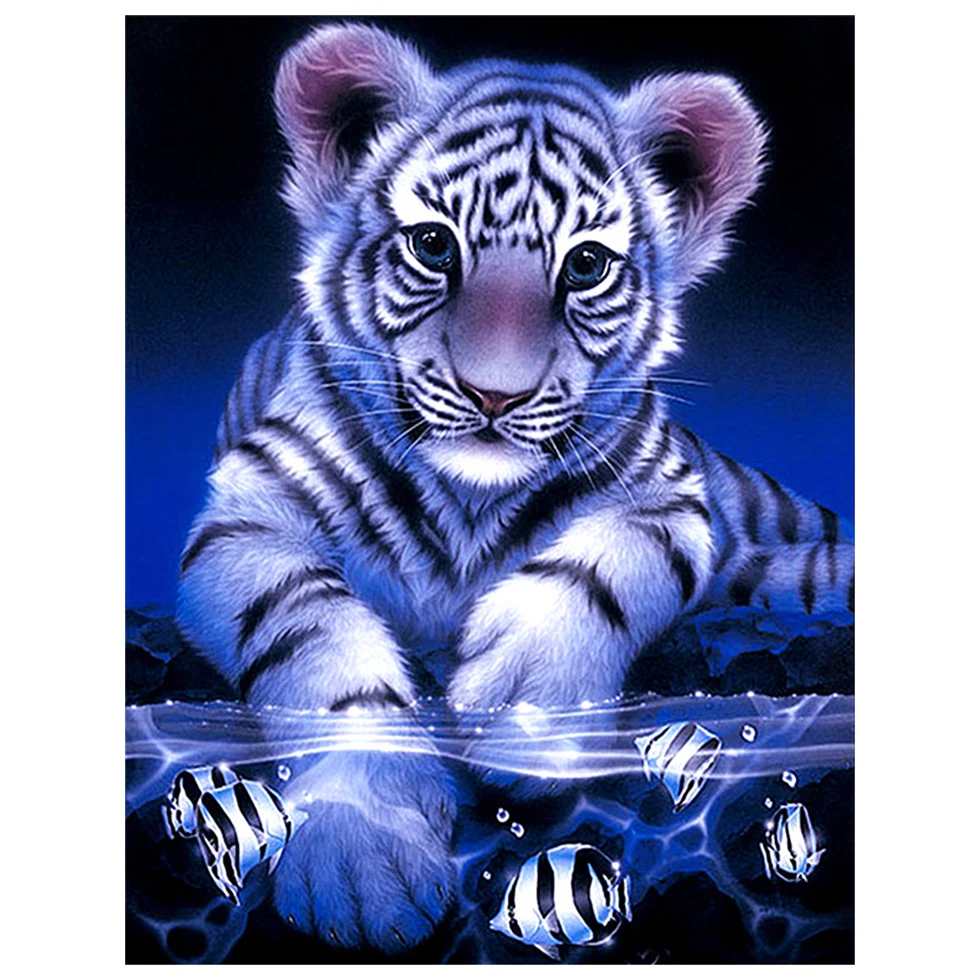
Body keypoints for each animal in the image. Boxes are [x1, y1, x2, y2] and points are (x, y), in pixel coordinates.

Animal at [175, 23, 854, 953]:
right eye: (434, 246)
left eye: (587, 264)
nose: (495, 394)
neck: (469, 502)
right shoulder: (245, 516)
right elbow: (312, 639)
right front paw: (363, 855)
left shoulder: (671, 498)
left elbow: (604, 567)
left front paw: (526, 713)